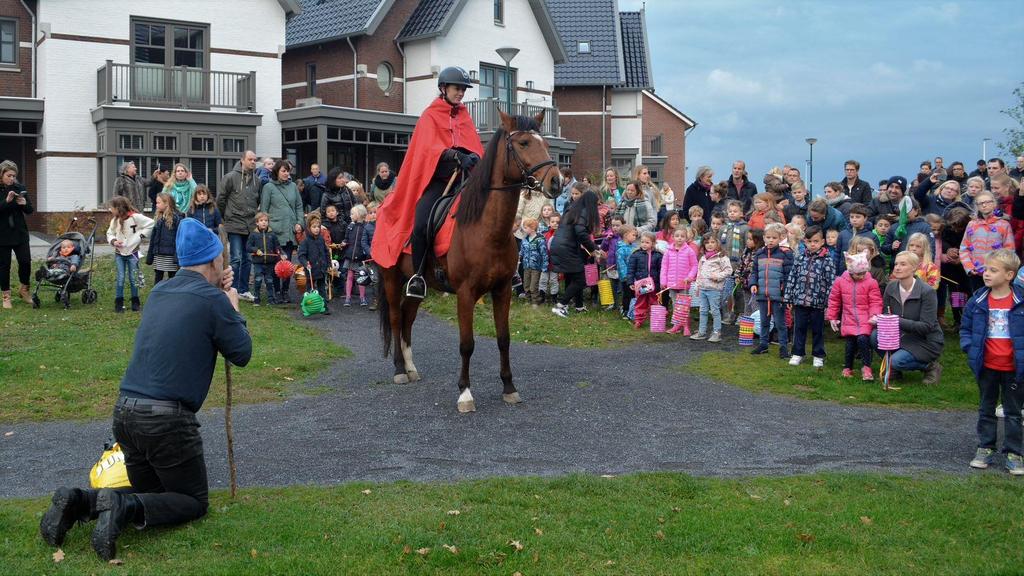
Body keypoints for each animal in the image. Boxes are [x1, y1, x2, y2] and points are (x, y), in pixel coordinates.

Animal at [380, 109, 565, 409]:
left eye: (546, 144)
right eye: (524, 143)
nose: (556, 182)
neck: (486, 229)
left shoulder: (502, 290)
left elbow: (504, 339)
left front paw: (509, 387)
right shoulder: (466, 294)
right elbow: (466, 344)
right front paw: (465, 393)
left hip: (417, 283)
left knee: (408, 317)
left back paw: (410, 367)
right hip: (390, 276)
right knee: (397, 318)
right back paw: (399, 370)